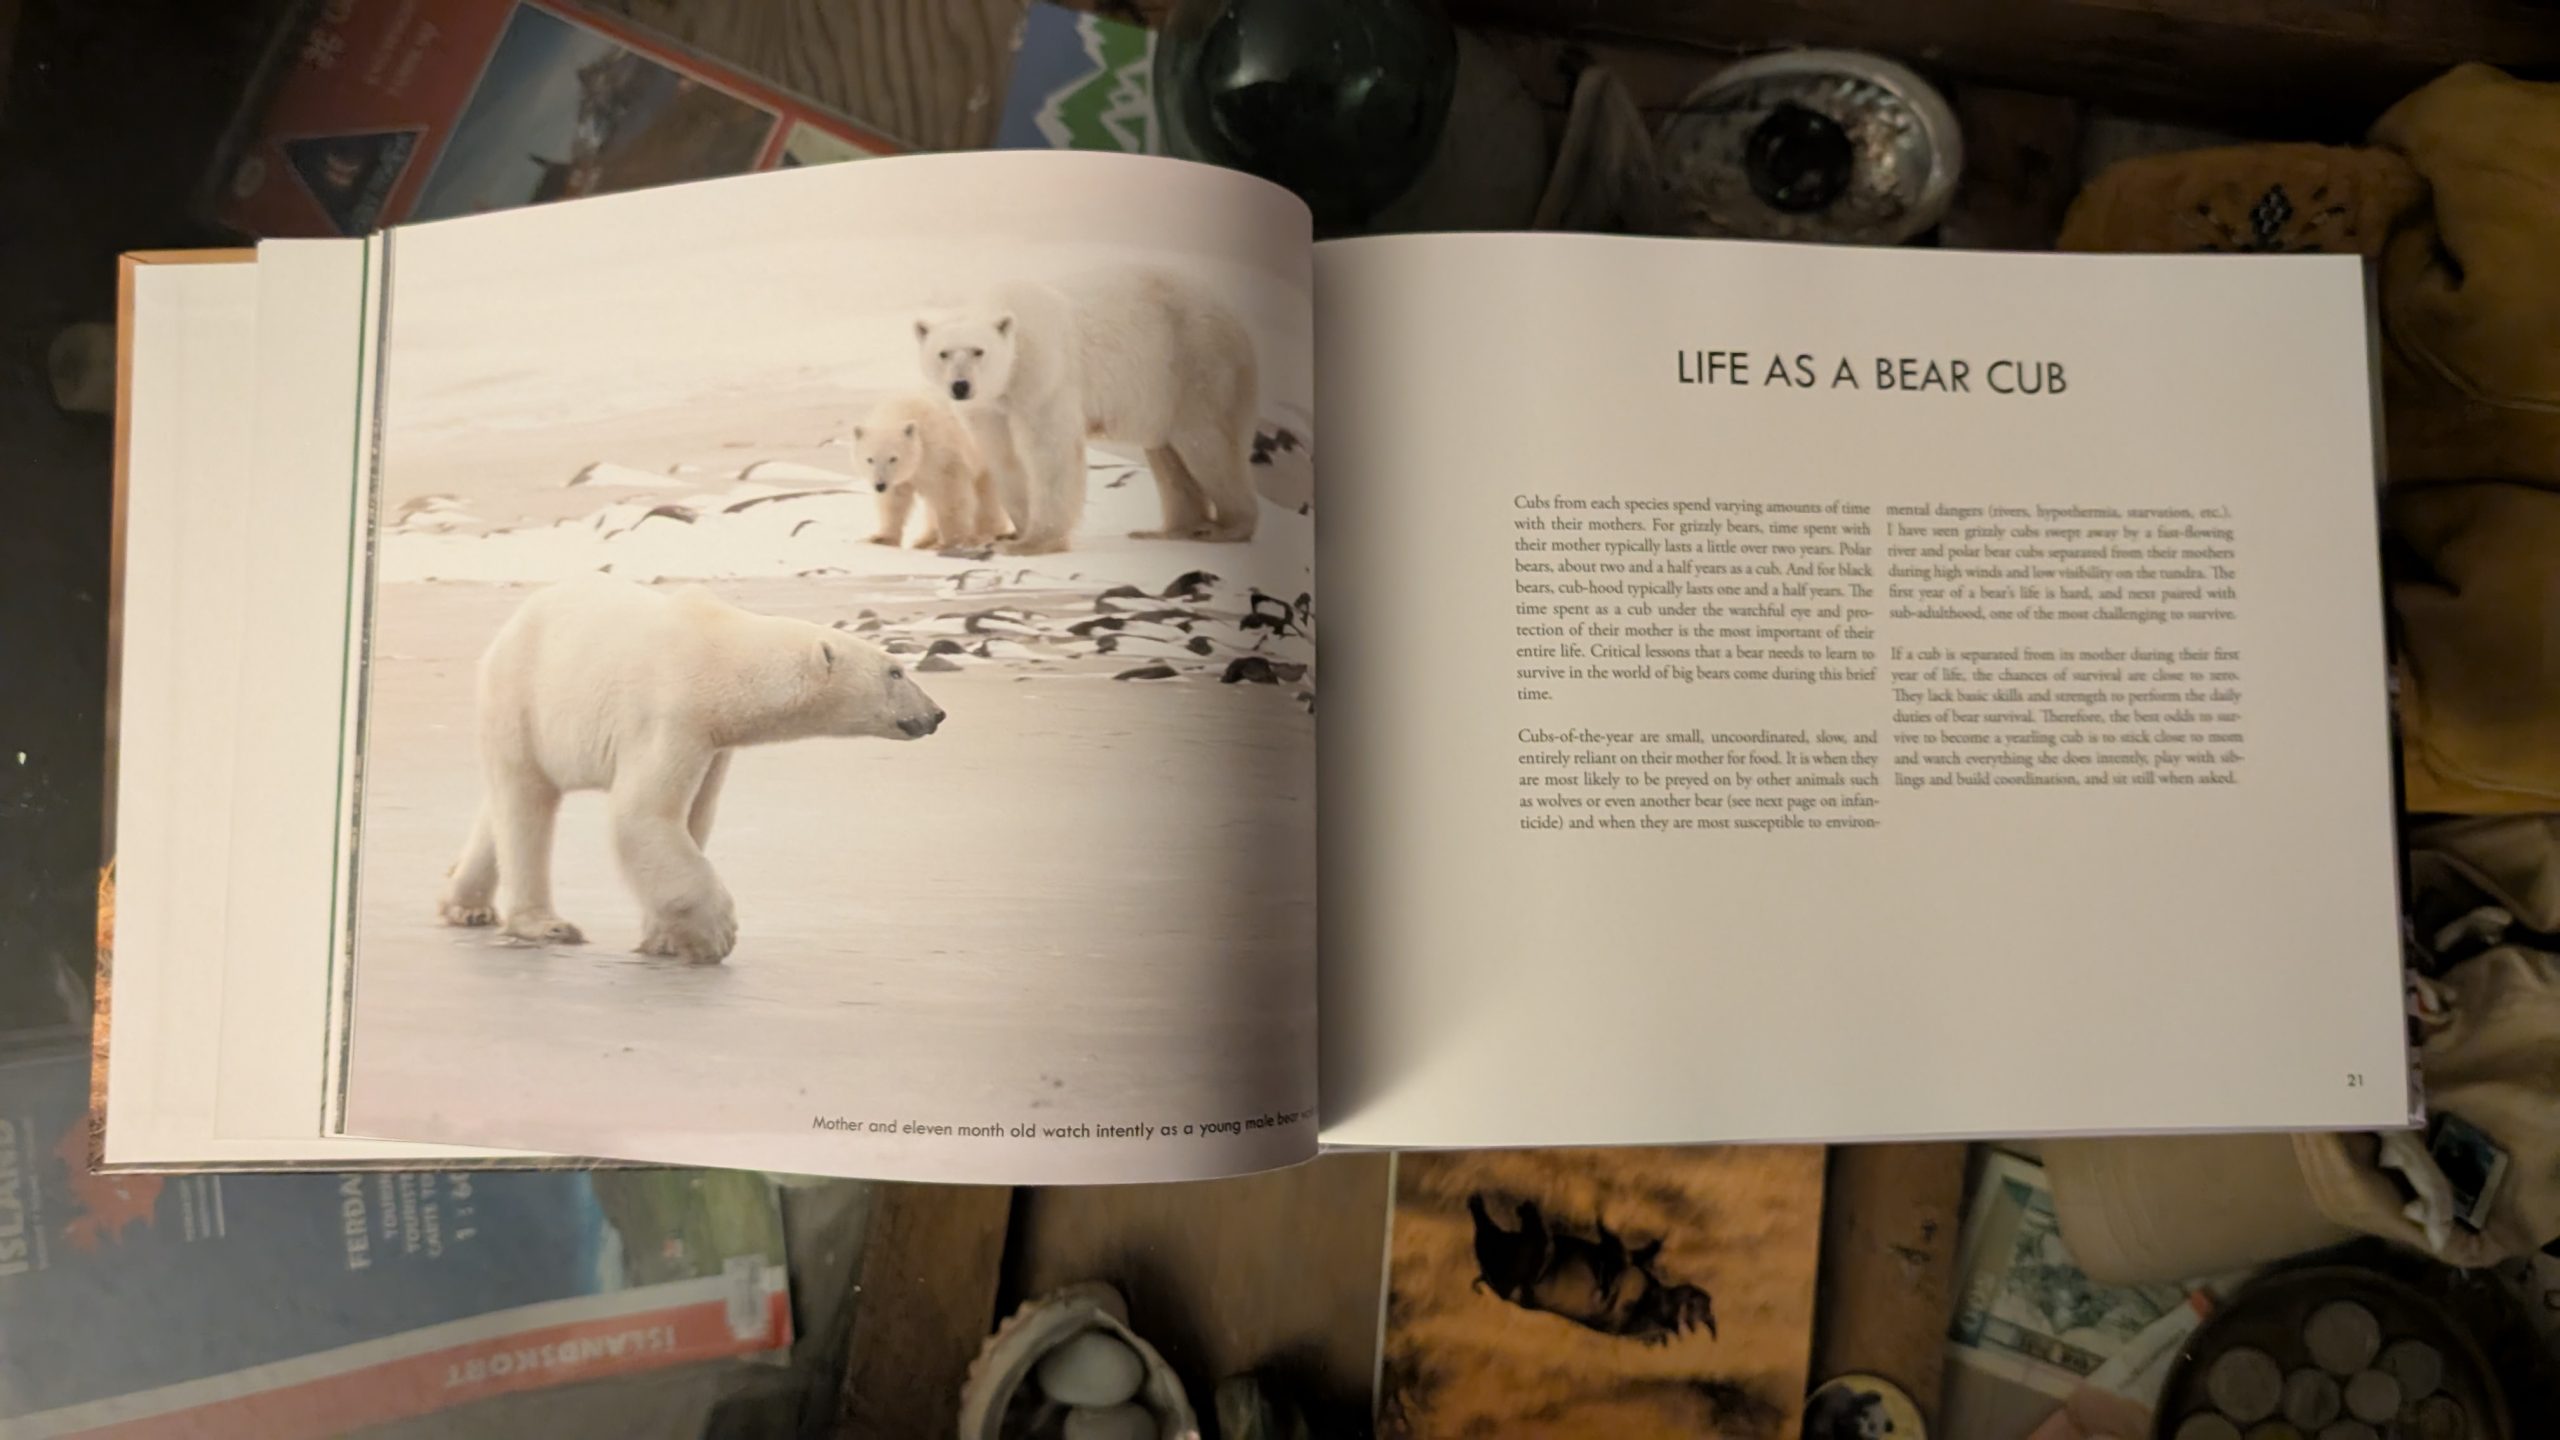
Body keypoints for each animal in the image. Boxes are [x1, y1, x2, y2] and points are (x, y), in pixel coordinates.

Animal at [435, 575, 945, 964]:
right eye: (896, 671)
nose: (936, 714)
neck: (722, 659)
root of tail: (509, 629)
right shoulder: (670, 715)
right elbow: (645, 816)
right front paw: (715, 935)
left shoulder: (714, 743)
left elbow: (694, 817)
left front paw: (664, 938)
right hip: (524, 696)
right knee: (526, 806)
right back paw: (546, 925)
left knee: (503, 804)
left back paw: (466, 905)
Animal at [851, 391, 1008, 551]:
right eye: (870, 459)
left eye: (893, 458)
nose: (880, 485)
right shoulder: (902, 477)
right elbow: (895, 500)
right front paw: (881, 539)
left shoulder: (942, 456)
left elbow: (949, 495)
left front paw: (951, 542)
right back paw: (924, 540)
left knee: (986, 492)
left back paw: (984, 533)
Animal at [916, 268, 1260, 555]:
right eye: (943, 353)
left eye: (978, 351)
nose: (960, 386)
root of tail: (1236, 321)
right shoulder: (991, 405)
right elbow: (1004, 456)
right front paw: (1016, 532)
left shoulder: (1045, 374)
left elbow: (1050, 452)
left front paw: (1035, 542)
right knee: (1167, 455)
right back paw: (1170, 530)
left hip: (1197, 367)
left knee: (1209, 443)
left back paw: (1226, 528)